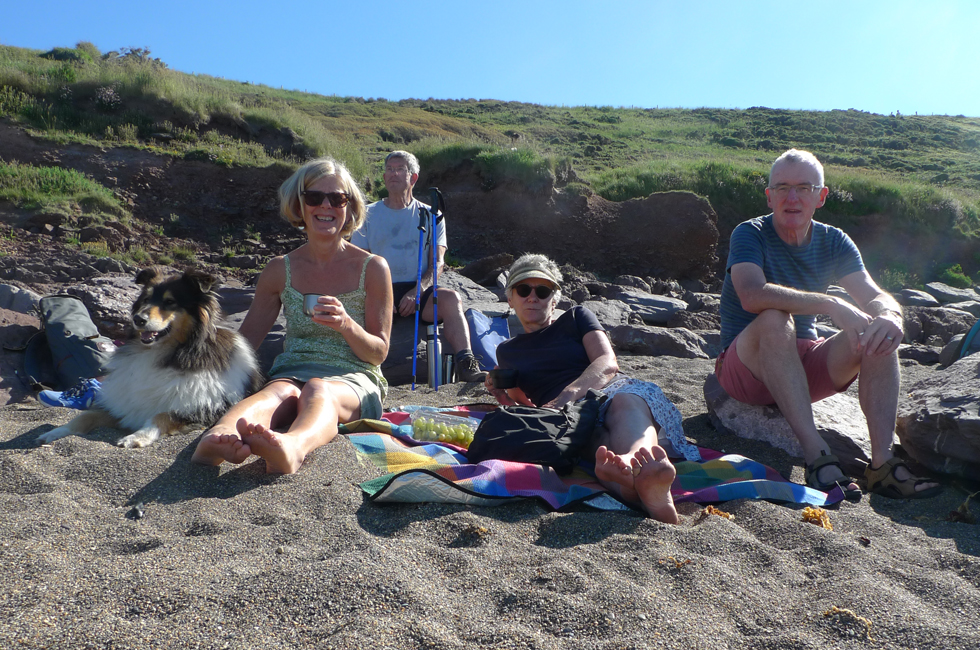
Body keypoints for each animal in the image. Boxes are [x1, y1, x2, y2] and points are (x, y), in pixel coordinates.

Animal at [38, 266, 262, 448]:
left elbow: (161, 415)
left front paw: (136, 437)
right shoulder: (124, 404)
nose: (138, 319)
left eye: (170, 302)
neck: (164, 352)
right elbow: (85, 416)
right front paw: (55, 432)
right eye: (146, 300)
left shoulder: (201, 408)